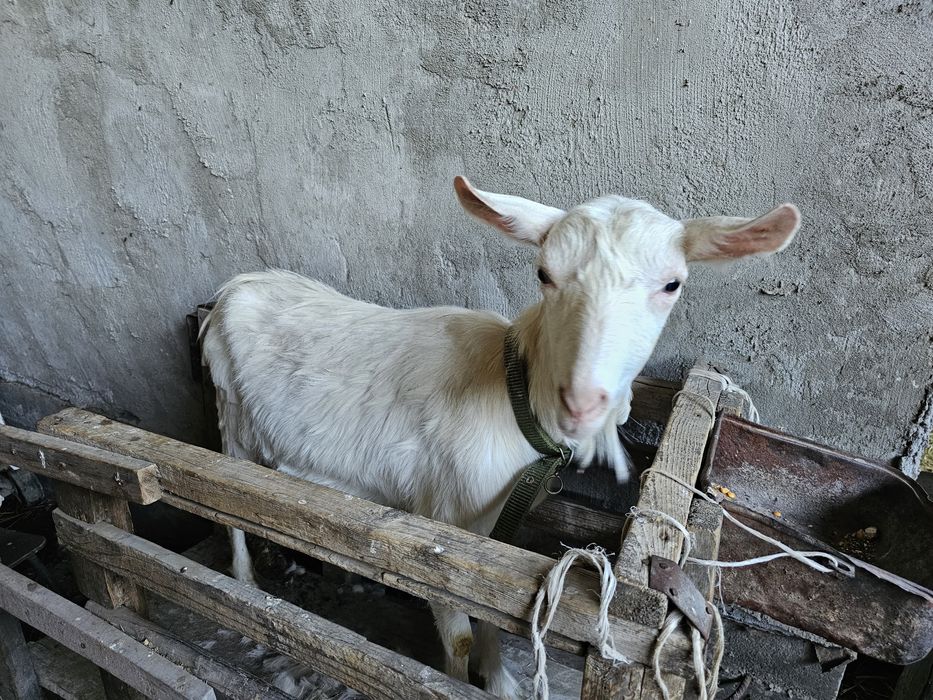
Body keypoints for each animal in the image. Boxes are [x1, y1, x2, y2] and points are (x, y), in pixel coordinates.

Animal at [199, 177, 800, 697]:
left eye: (672, 284)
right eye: (544, 274)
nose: (582, 402)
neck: (514, 397)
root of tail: (232, 289)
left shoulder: (492, 524)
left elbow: (493, 607)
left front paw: (499, 678)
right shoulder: (437, 520)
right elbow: (460, 630)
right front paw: (458, 679)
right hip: (231, 417)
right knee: (226, 503)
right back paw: (245, 579)